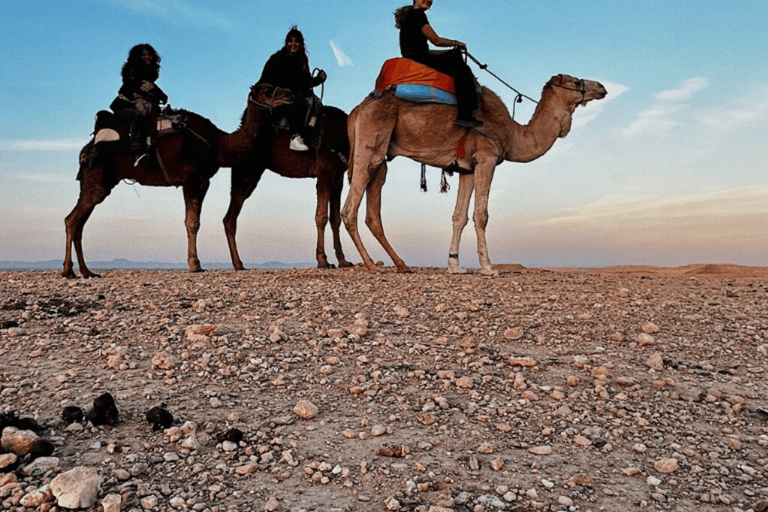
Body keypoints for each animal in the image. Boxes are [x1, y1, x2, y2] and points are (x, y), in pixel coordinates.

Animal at [61, 84, 292, 278]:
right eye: (267, 90)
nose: (289, 95)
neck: (218, 143)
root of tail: (85, 151)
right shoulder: (190, 178)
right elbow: (192, 223)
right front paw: (195, 264)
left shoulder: (203, 181)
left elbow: (194, 220)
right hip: (97, 179)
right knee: (72, 220)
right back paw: (68, 270)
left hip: (99, 183)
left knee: (78, 222)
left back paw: (86, 271)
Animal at [222, 105, 354, 272]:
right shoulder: (325, 171)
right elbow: (321, 216)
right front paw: (323, 261)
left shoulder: (338, 176)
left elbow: (335, 219)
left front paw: (343, 261)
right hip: (246, 173)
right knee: (231, 217)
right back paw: (239, 264)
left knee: (229, 217)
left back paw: (237, 264)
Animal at [342, 73, 608, 274]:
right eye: (576, 82)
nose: (602, 87)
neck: (513, 133)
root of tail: (358, 109)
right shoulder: (486, 159)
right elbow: (482, 215)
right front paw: (488, 267)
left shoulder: (467, 168)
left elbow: (459, 217)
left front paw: (455, 265)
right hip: (370, 142)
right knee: (349, 209)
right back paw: (371, 265)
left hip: (381, 156)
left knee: (373, 213)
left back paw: (400, 264)